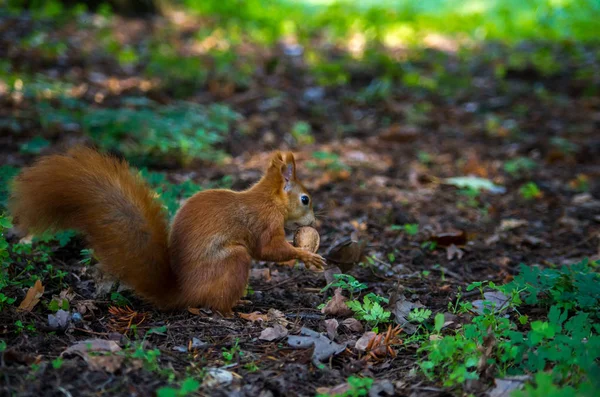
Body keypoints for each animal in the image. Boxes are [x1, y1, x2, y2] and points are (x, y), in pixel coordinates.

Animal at [7, 145, 326, 312]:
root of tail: (182, 292)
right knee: (215, 304)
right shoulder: (265, 223)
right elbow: (268, 249)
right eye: (305, 199)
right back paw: (241, 311)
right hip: (234, 259)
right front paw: (306, 255)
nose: (314, 223)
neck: (268, 200)